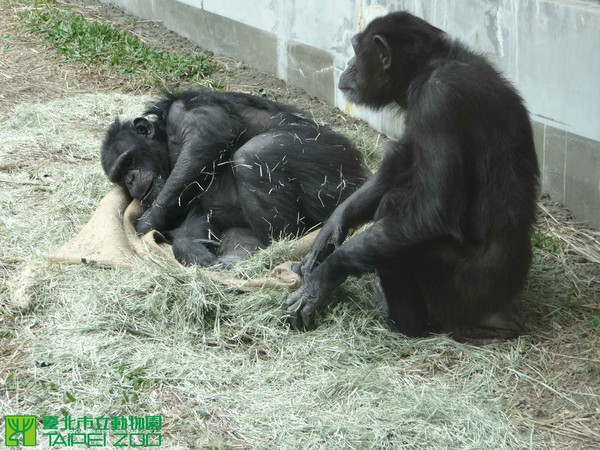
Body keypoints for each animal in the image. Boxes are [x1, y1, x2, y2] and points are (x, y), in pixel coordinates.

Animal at [101, 90, 372, 268]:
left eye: (129, 162)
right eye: (119, 177)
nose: (131, 179)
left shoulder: (184, 112)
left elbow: (209, 136)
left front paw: (147, 222)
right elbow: (198, 220)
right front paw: (191, 248)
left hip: (334, 170)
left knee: (253, 154)